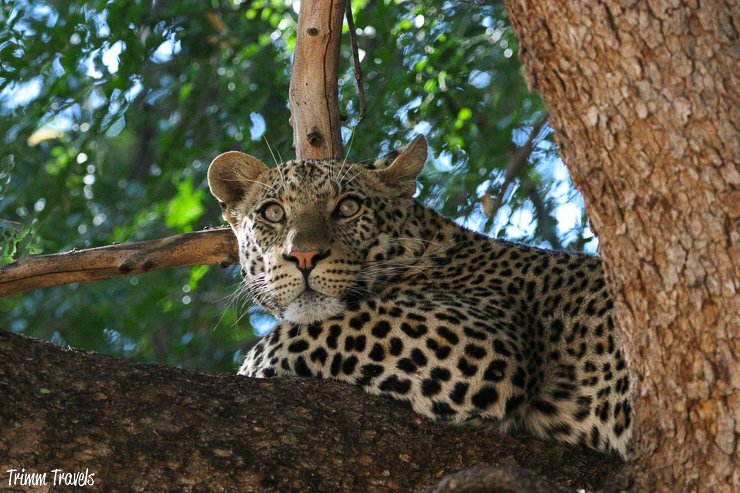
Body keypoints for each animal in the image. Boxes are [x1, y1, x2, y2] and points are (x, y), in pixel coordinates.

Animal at [207, 135, 633, 458]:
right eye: (273, 213)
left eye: (348, 207)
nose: (305, 256)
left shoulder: (481, 338)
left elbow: (310, 331)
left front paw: (249, 367)